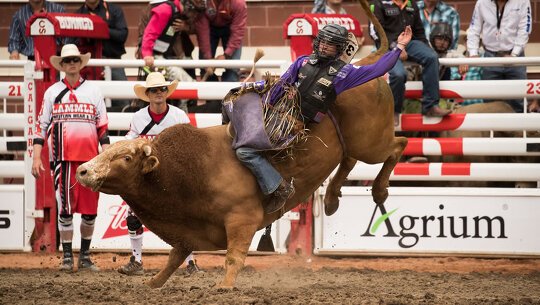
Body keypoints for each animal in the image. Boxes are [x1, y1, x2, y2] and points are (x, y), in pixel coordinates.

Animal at [75, 0, 404, 288]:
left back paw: (378, 190)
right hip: (355, 143)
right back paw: (333, 199)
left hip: (372, 143)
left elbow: (233, 257)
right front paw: (152, 283)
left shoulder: (242, 219)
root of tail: (365, 63)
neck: (185, 172)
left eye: (127, 158)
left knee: (397, 146)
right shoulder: (186, 229)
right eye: (107, 150)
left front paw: (225, 286)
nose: (82, 171)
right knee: (349, 159)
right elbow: (174, 258)